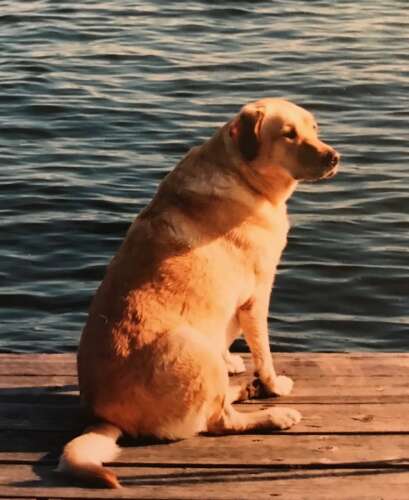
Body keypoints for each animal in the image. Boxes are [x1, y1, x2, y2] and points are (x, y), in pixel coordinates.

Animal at [58, 97, 338, 488]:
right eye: (288, 134)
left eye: (314, 128)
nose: (333, 157)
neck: (240, 173)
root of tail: (105, 417)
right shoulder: (257, 293)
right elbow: (264, 352)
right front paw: (273, 383)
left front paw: (236, 363)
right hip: (190, 345)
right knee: (219, 420)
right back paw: (273, 414)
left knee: (216, 402)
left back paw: (244, 388)